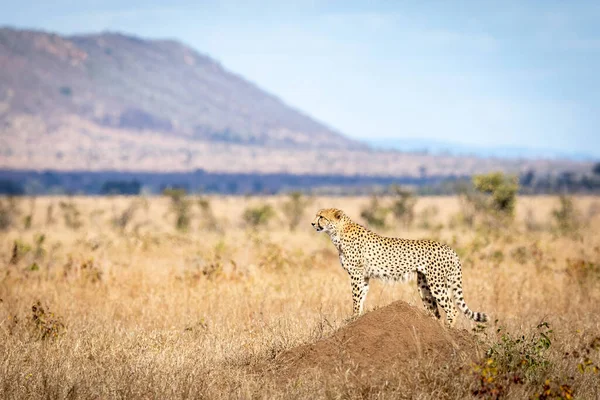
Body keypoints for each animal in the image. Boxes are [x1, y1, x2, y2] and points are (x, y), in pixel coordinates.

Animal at [312, 208, 490, 326]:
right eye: (317, 215)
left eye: (321, 217)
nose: (313, 223)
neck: (338, 232)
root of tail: (449, 248)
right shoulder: (364, 276)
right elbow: (361, 297)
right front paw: (357, 317)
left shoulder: (356, 274)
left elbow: (355, 298)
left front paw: (353, 317)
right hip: (424, 285)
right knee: (435, 311)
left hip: (437, 283)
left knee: (452, 309)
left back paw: (448, 330)